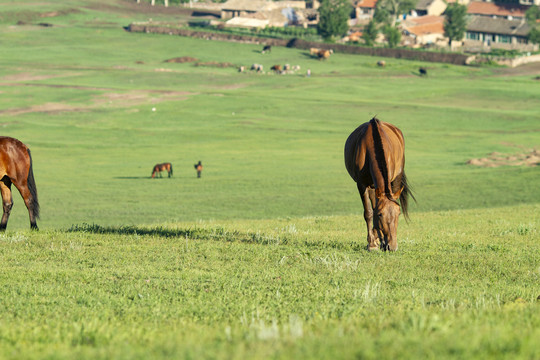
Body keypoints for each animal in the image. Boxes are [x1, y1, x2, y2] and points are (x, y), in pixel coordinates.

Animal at [344, 117, 416, 250]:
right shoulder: (362, 184)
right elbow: (369, 212)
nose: (392, 247)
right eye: (380, 215)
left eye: (398, 213)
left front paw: (377, 239)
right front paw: (372, 244)